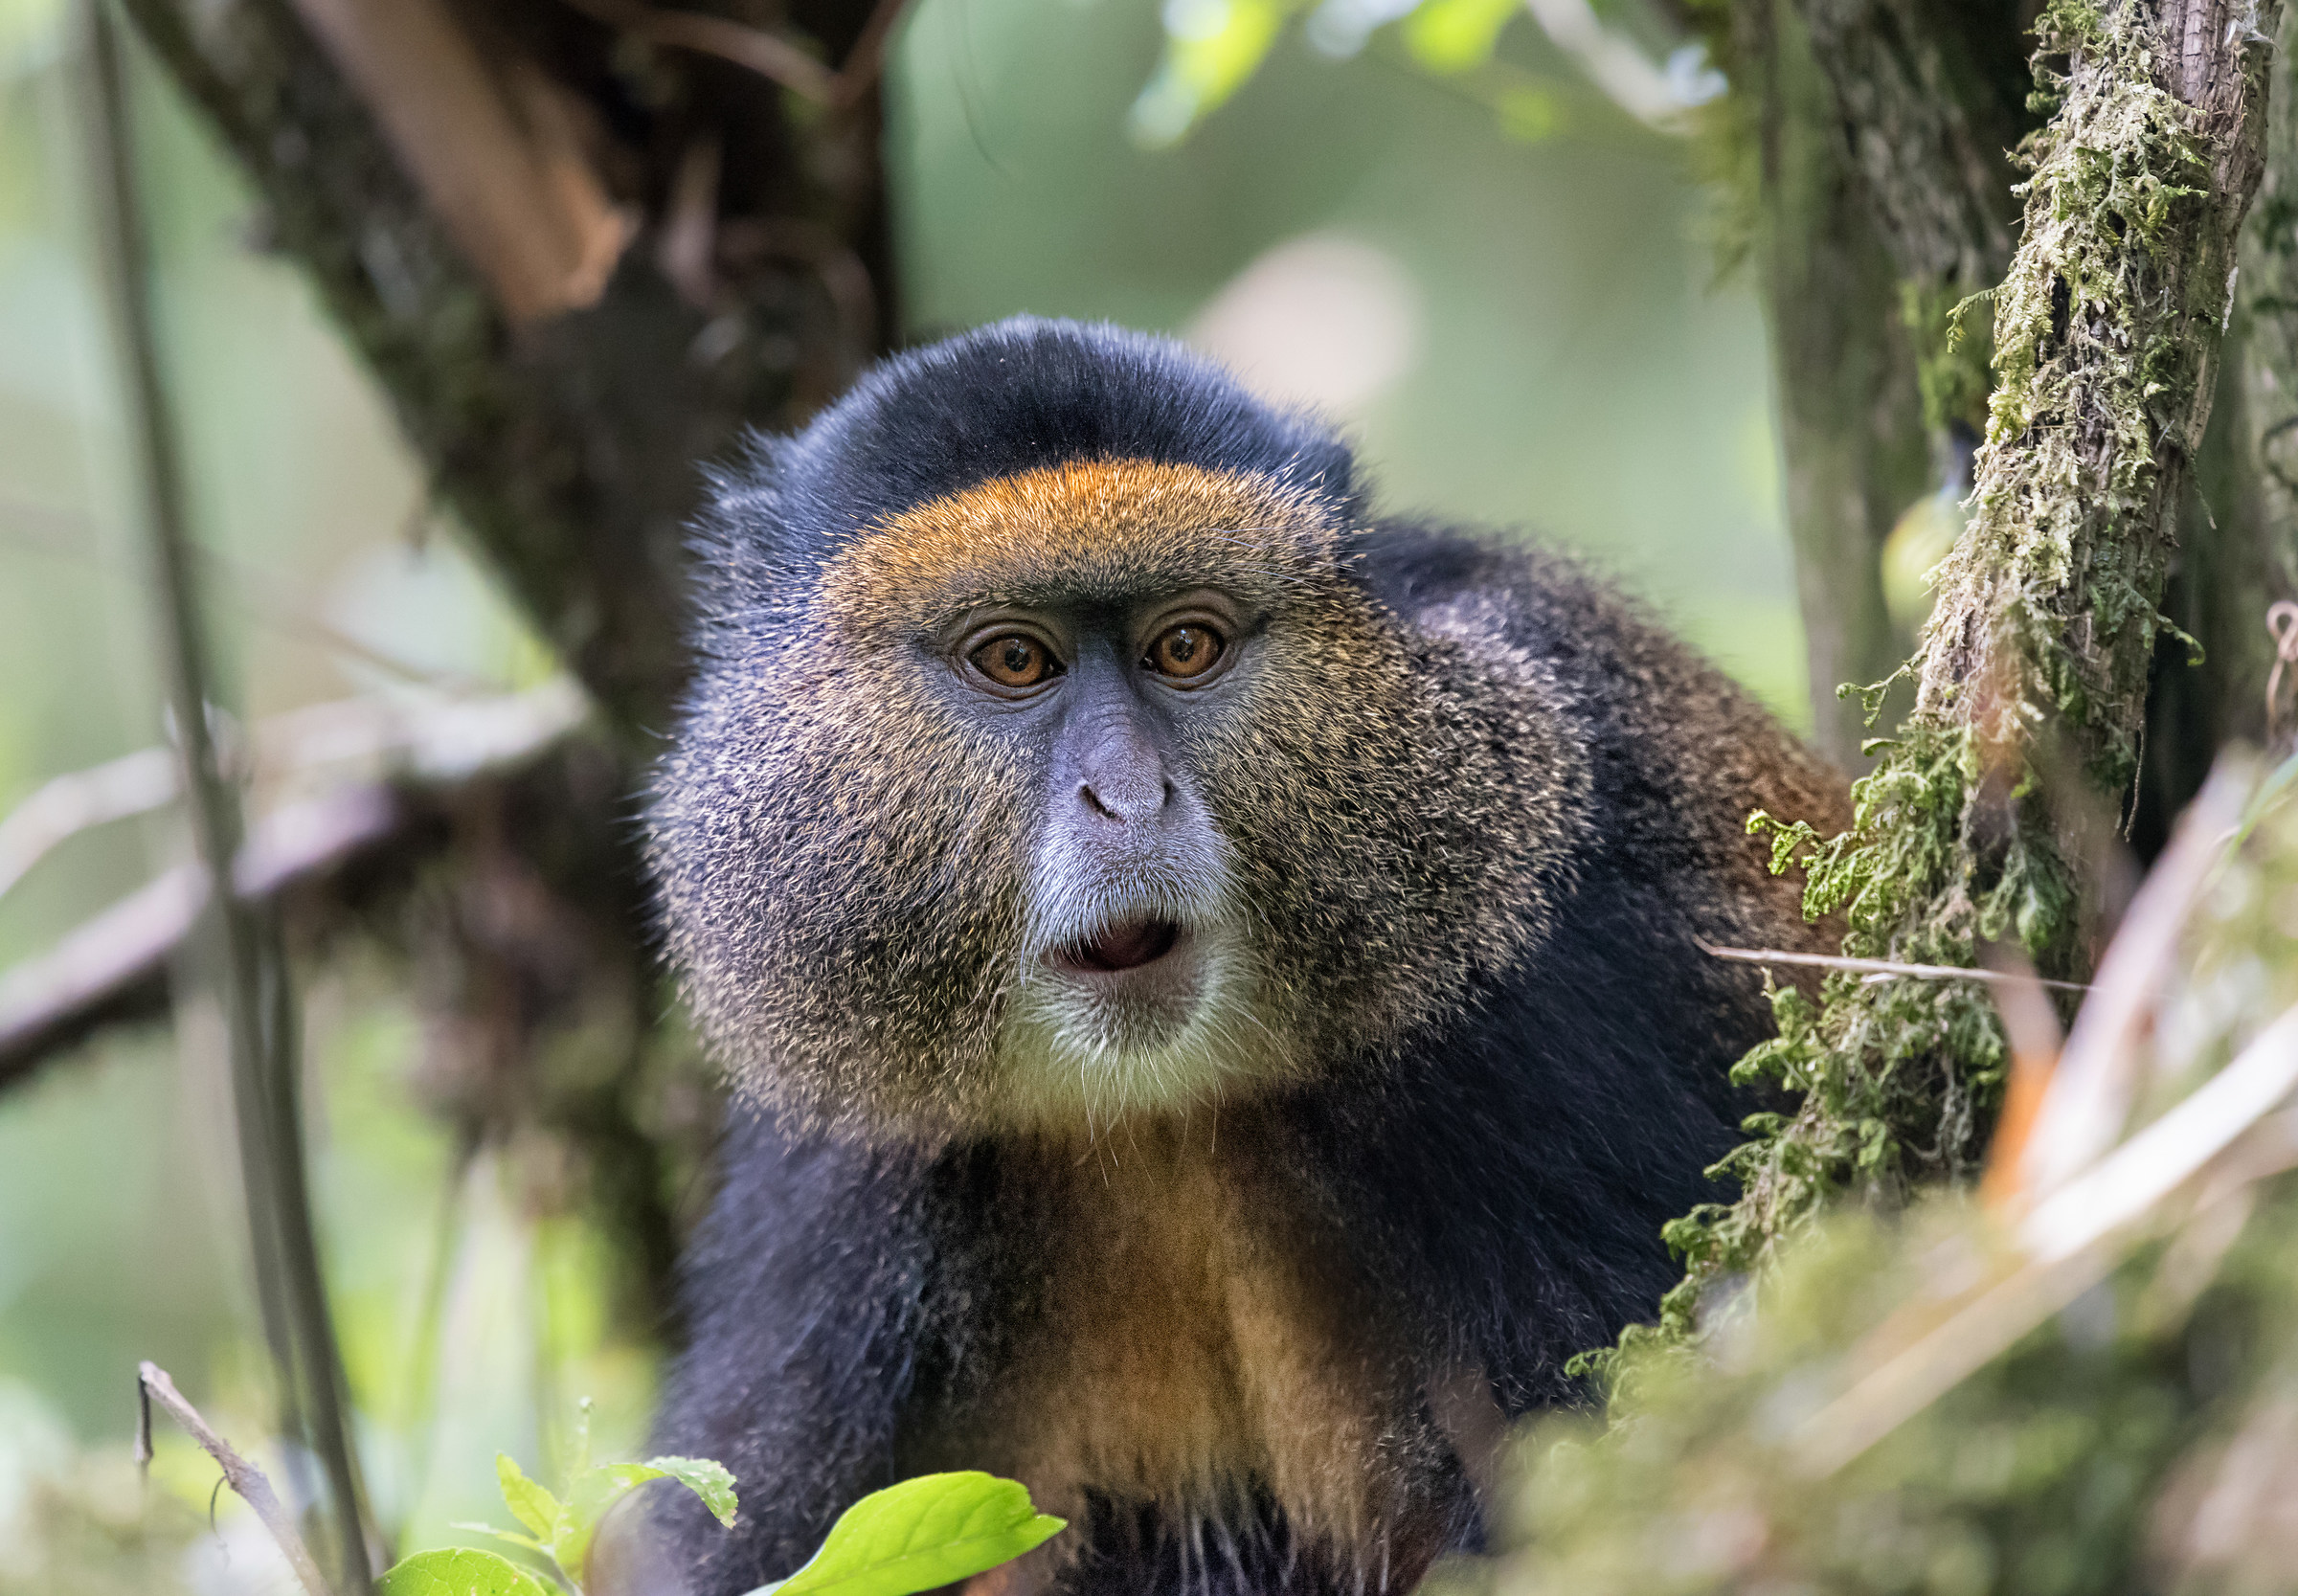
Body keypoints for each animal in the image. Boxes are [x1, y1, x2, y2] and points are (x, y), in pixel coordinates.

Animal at [628, 316, 1850, 1596]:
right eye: (1015, 661)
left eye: (1185, 644)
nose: (1129, 794)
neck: (1164, 1106)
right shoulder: (838, 1175)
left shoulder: (1552, 990)